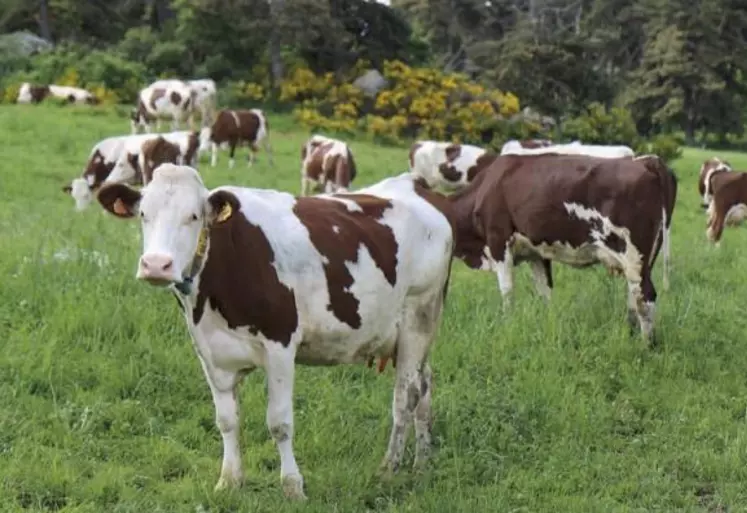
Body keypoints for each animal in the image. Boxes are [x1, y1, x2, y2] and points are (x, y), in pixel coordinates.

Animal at [93, 165, 456, 500]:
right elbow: (226, 420)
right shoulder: (210, 352)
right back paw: (422, 464)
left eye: (193, 216)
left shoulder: (280, 345)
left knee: (405, 396)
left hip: (418, 316)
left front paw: (293, 486)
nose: (156, 265)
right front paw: (229, 481)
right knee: (425, 383)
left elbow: (279, 423)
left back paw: (389, 468)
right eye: (144, 214)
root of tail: (415, 184)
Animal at [448, 154, 680, 342]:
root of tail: (646, 161)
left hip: (633, 254)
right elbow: (545, 291)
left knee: (645, 297)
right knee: (634, 295)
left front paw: (508, 325)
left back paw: (646, 345)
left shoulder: (498, 241)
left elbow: (507, 290)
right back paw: (630, 334)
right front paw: (547, 324)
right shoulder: (537, 253)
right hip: (642, 260)